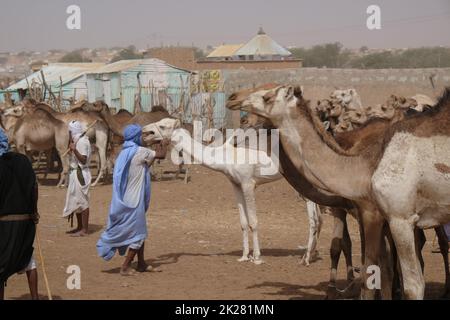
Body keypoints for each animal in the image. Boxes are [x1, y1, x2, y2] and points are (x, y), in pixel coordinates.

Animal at [227, 84, 450, 298]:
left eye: (267, 96)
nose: (233, 98)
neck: (365, 165)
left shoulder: (391, 216)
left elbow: (388, 276)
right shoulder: (359, 211)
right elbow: (353, 253)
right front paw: (337, 288)